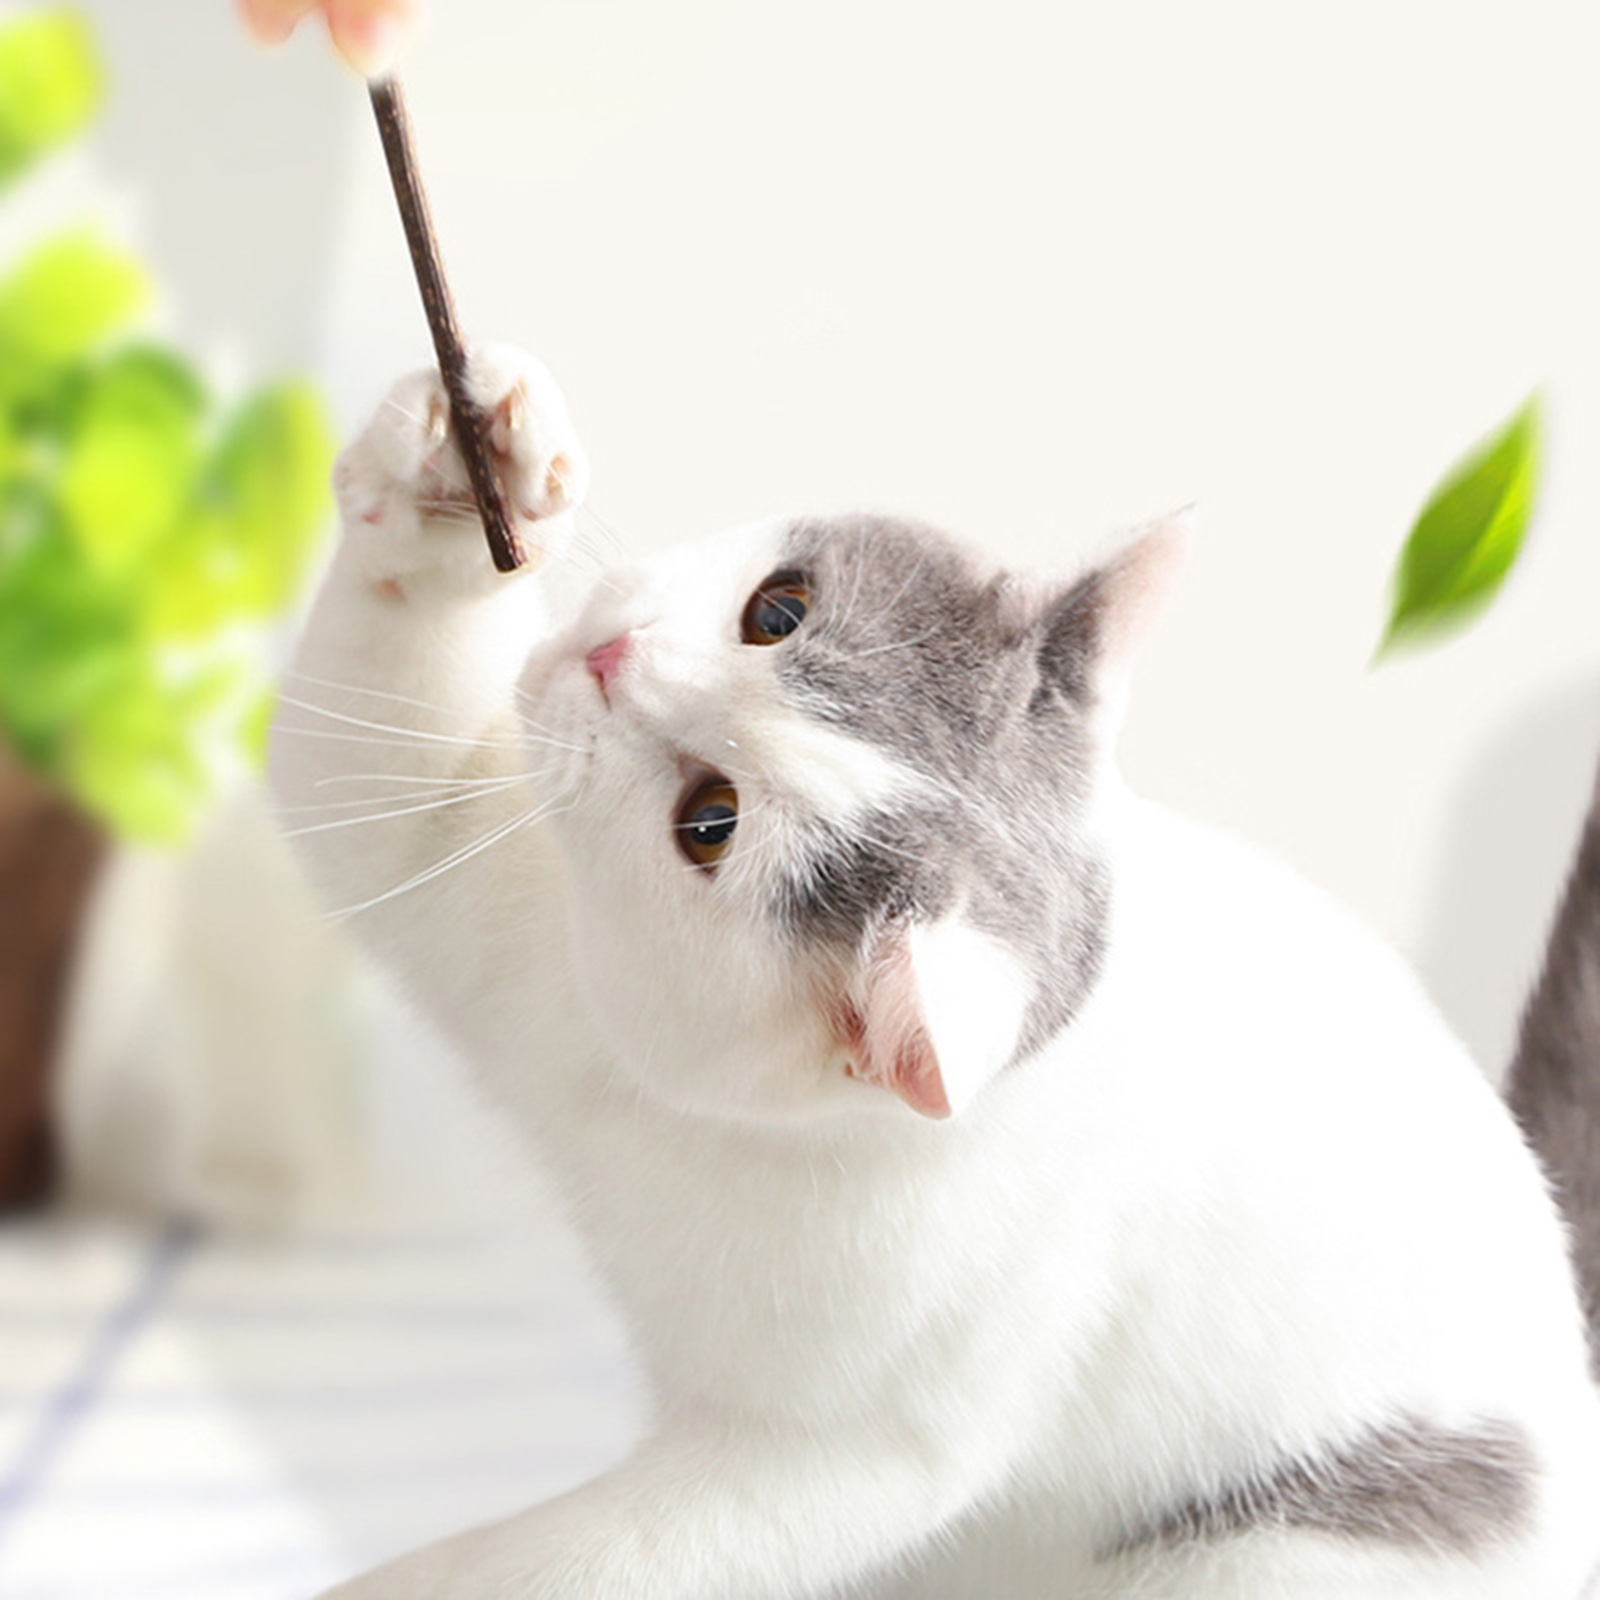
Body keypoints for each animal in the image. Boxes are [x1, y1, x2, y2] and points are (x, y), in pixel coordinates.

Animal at [270, 345, 1600, 1599]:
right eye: (778, 611)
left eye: (712, 822)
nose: (609, 655)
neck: (655, 1095)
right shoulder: (500, 905)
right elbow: (376, 779)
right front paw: (472, 460)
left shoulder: (832, 1455)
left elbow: (591, 1557)